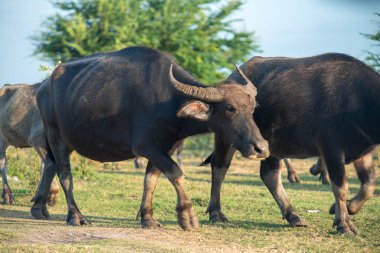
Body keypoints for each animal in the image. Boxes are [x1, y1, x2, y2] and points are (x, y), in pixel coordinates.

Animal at [31, 46, 268, 230]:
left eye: (252, 107)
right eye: (230, 108)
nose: (261, 148)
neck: (169, 102)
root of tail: (43, 86)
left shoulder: (165, 148)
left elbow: (150, 180)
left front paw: (147, 218)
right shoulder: (147, 147)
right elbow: (176, 172)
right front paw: (187, 217)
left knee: (50, 165)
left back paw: (39, 208)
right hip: (56, 136)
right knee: (64, 173)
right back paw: (75, 216)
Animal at [206, 53, 378, 235]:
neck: (358, 100)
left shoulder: (365, 151)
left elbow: (369, 185)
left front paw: (347, 209)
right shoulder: (331, 148)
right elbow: (341, 187)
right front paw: (343, 224)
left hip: (269, 145)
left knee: (270, 174)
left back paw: (293, 215)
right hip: (227, 137)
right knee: (220, 167)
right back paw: (215, 213)